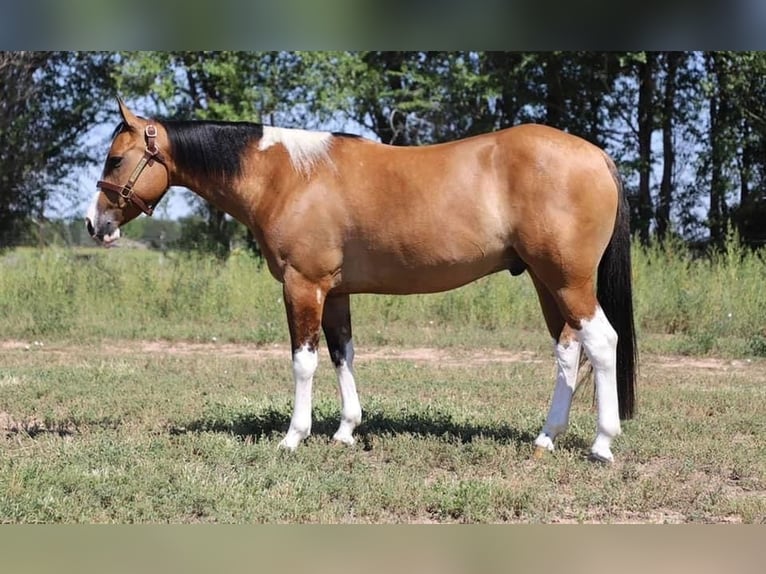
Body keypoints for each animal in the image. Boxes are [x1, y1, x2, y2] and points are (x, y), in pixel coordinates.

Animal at [84, 100, 640, 464]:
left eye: (116, 159)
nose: (94, 224)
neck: (287, 176)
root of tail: (597, 156)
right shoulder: (336, 293)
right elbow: (341, 354)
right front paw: (346, 431)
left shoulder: (302, 286)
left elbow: (304, 361)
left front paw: (294, 436)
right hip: (547, 282)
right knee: (568, 349)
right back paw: (546, 437)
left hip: (568, 280)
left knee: (601, 341)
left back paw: (602, 444)